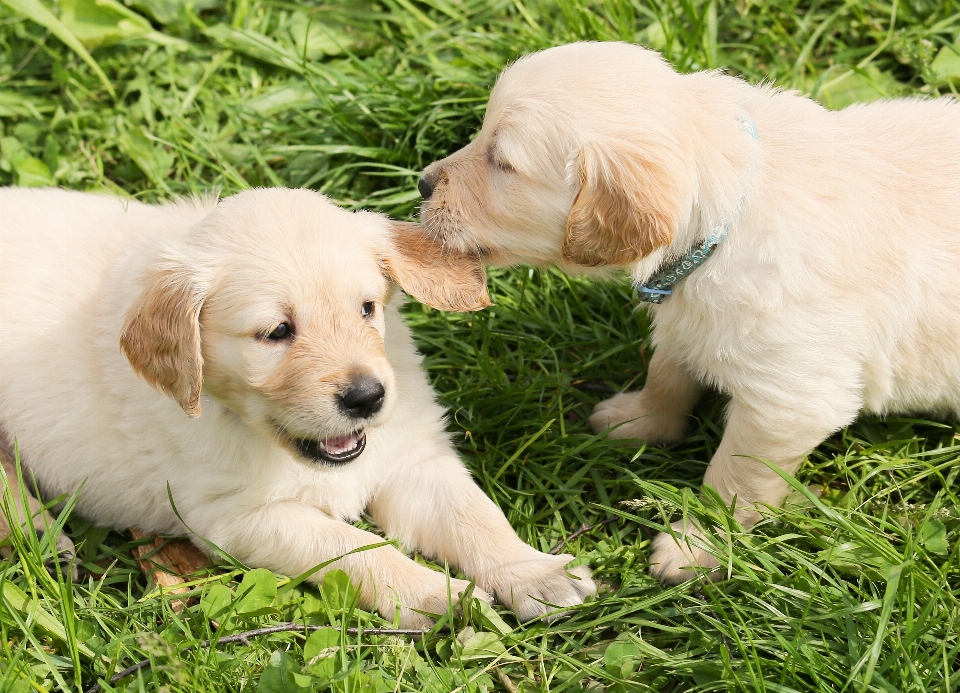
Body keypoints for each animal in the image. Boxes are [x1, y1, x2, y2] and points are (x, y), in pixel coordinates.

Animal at [0, 187, 596, 624]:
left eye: (367, 308)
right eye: (276, 332)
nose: (367, 397)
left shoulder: (412, 457)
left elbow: (476, 516)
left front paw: (535, 573)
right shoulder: (238, 517)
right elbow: (355, 546)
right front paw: (434, 594)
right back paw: (39, 535)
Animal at [418, 42, 960, 584]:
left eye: (502, 162)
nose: (421, 183)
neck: (726, 220)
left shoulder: (789, 402)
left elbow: (733, 481)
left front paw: (698, 546)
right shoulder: (685, 318)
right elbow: (666, 373)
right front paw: (640, 420)